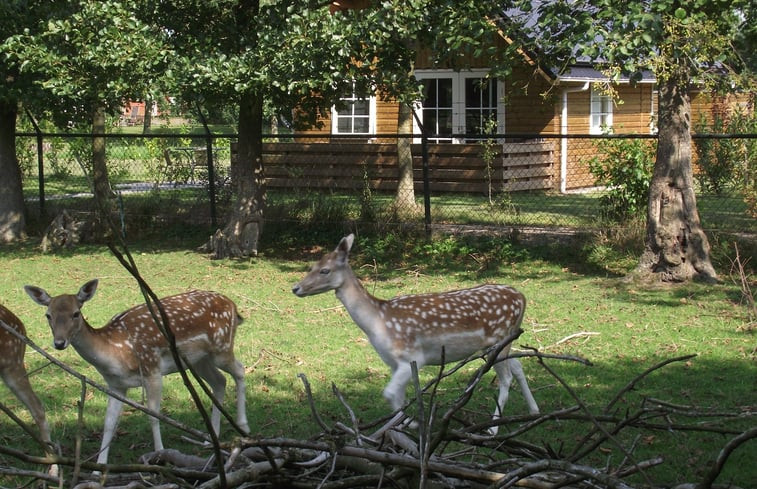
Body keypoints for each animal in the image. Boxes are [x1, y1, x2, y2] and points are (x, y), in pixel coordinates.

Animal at [292, 234, 540, 432]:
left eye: (325, 270)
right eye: (312, 265)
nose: (296, 288)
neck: (378, 322)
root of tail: (522, 297)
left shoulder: (413, 357)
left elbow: (389, 394)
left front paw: (411, 423)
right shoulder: (394, 363)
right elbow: (397, 397)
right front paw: (401, 426)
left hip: (499, 338)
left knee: (506, 378)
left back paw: (493, 428)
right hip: (504, 341)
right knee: (518, 365)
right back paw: (534, 411)